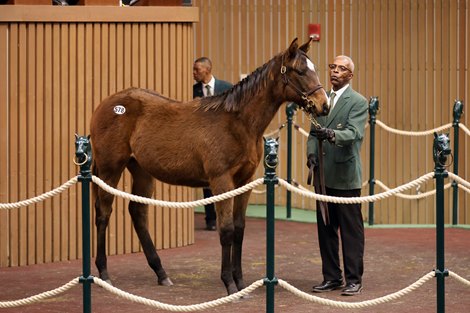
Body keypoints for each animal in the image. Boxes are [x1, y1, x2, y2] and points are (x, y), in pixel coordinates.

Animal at [90, 37, 328, 294]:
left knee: (138, 213)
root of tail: (107, 104)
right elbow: (226, 230)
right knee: (103, 213)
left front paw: (240, 282)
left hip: (142, 171)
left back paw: (161, 273)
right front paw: (229, 283)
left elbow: (239, 229)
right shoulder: (221, 181)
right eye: (300, 71)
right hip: (110, 169)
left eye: (314, 69)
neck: (238, 123)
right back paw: (104, 273)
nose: (324, 105)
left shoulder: (244, 182)